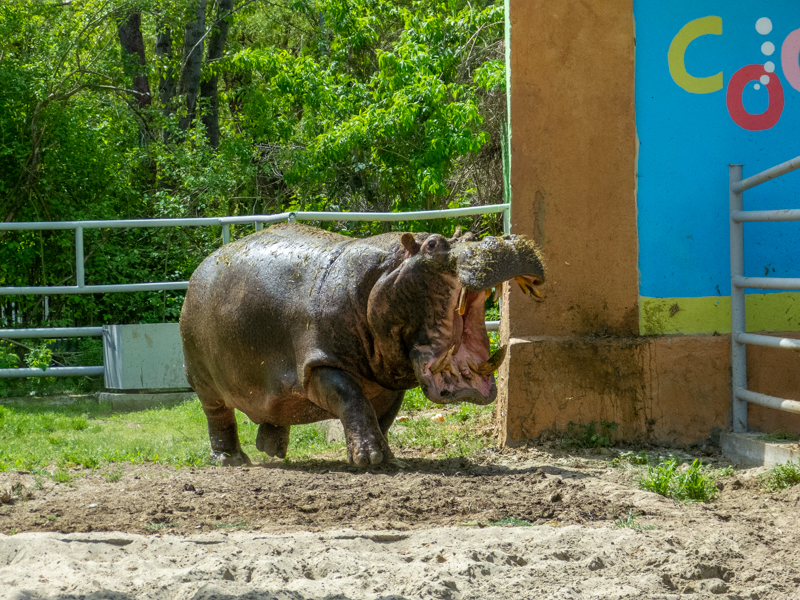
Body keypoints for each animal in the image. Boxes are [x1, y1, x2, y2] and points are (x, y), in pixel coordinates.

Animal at [179, 223, 545, 467]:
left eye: (469, 237)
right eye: (433, 245)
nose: (503, 241)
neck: (389, 270)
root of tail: (203, 265)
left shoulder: (387, 382)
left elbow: (381, 416)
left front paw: (388, 458)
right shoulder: (321, 364)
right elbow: (352, 399)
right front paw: (370, 459)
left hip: (268, 386)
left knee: (274, 410)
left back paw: (273, 450)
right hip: (204, 381)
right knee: (219, 417)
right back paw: (231, 460)